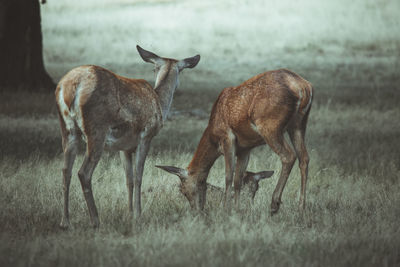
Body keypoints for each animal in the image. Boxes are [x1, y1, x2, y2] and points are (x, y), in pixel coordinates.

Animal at [54, 45, 200, 228]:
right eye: (181, 71)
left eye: (154, 68)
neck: (159, 103)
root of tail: (69, 87)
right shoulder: (146, 136)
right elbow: (138, 176)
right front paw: (138, 214)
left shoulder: (124, 147)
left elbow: (128, 179)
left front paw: (129, 213)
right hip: (96, 130)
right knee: (83, 173)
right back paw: (95, 220)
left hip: (67, 129)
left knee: (66, 171)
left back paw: (65, 221)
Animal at [156, 69, 312, 216]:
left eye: (183, 190)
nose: (197, 211)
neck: (212, 134)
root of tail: (303, 88)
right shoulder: (245, 148)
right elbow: (238, 179)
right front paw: (237, 209)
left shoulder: (228, 138)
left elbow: (228, 176)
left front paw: (226, 209)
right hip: (299, 124)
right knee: (304, 158)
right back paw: (301, 207)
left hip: (270, 126)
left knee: (289, 156)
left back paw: (275, 204)